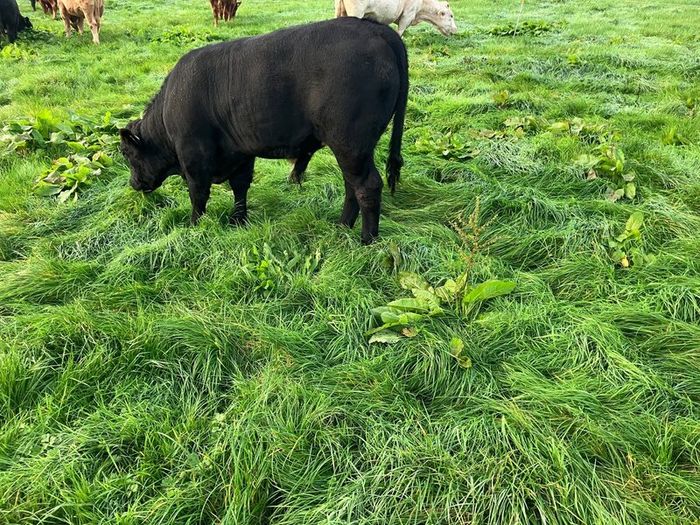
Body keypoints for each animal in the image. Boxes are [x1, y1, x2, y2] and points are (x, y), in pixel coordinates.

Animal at [120, 18, 408, 245]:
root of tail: (375, 27)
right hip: (353, 150)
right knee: (351, 186)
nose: (133, 184)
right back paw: (342, 226)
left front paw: (193, 227)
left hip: (350, 145)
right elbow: (240, 187)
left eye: (127, 154)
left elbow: (198, 195)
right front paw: (238, 220)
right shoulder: (240, 152)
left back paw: (366, 240)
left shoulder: (193, 157)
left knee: (367, 187)